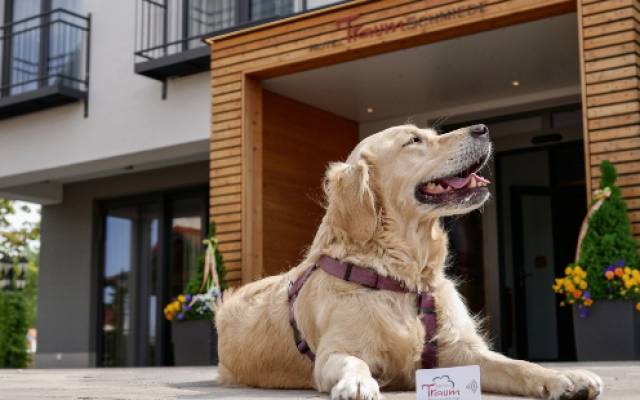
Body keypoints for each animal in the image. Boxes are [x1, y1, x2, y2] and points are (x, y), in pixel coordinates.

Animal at [218, 125, 604, 400]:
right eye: (414, 140)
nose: (482, 129)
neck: (404, 276)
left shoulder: (461, 351)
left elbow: (518, 365)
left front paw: (563, 376)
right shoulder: (334, 352)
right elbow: (352, 361)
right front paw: (357, 382)